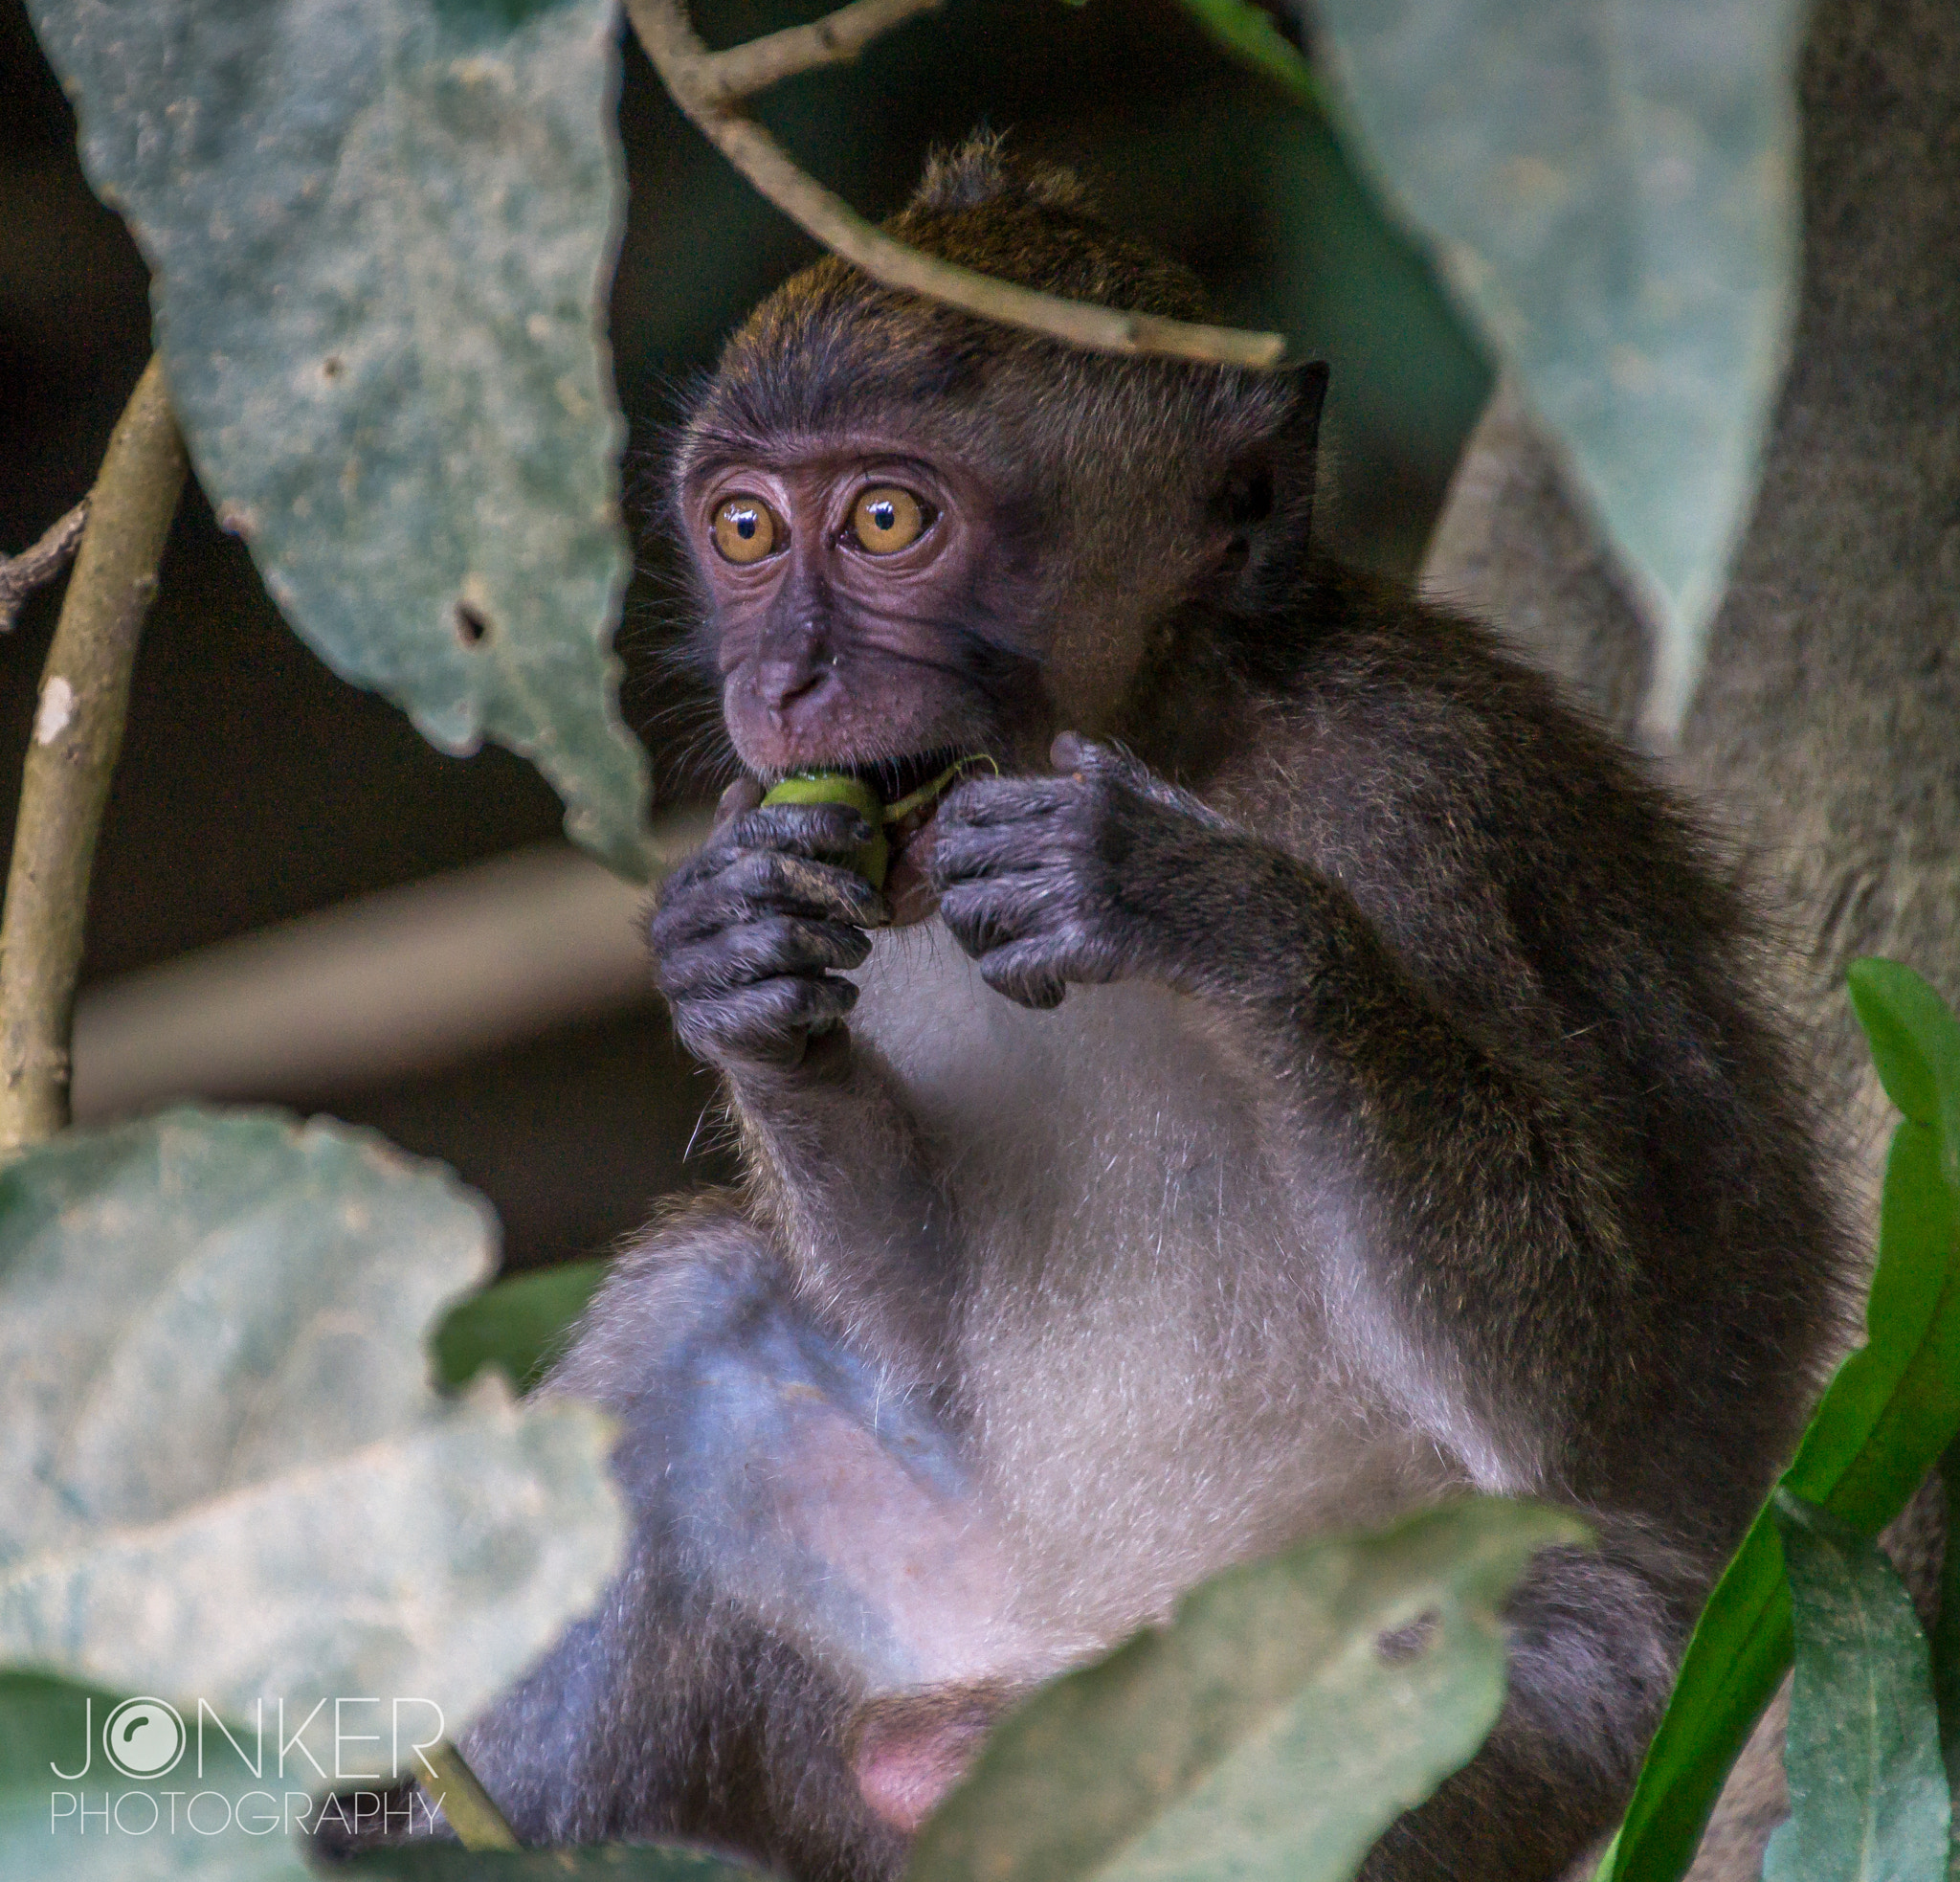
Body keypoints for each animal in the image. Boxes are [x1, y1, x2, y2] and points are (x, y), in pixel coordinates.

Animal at [451, 136, 1842, 1882]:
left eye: (888, 518)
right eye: (747, 529)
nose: (776, 680)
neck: (1183, 723)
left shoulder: (1419, 795)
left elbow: (1576, 1390)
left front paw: (1187, 900)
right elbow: (913, 1338)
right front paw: (730, 968)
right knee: (693, 1315)